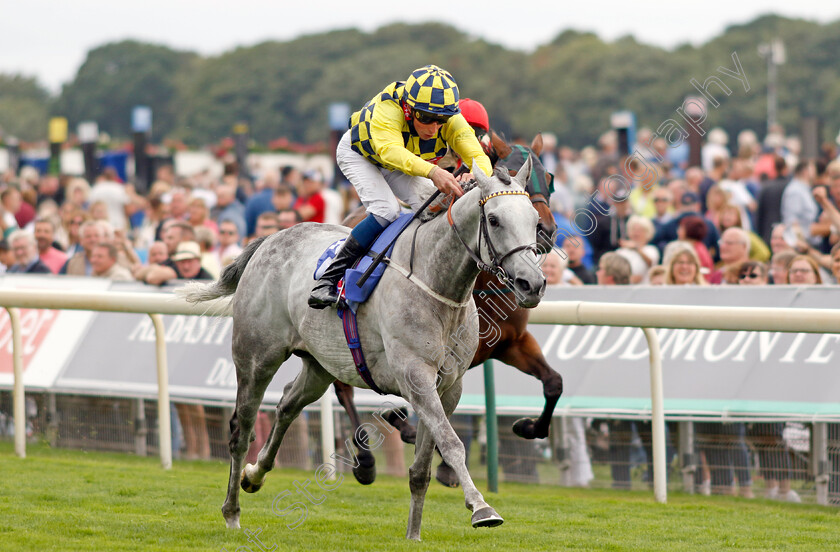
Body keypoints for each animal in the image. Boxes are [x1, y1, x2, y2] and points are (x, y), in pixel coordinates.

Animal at [180, 158, 544, 540]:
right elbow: (452, 443)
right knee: (242, 430)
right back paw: (232, 511)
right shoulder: (416, 377)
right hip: (256, 357)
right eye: (494, 220)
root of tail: (270, 239)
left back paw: (254, 474)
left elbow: (422, 468)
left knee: (287, 405)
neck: (436, 282)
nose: (532, 284)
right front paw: (481, 508)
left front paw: (414, 535)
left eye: (534, 220)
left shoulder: (448, 387)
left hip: (320, 364)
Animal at [334, 132, 564, 486]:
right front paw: (441, 461)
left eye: (549, 177)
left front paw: (527, 426)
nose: (546, 232)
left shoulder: (511, 342)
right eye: (510, 171)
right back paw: (365, 458)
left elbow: (554, 382)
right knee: (343, 386)